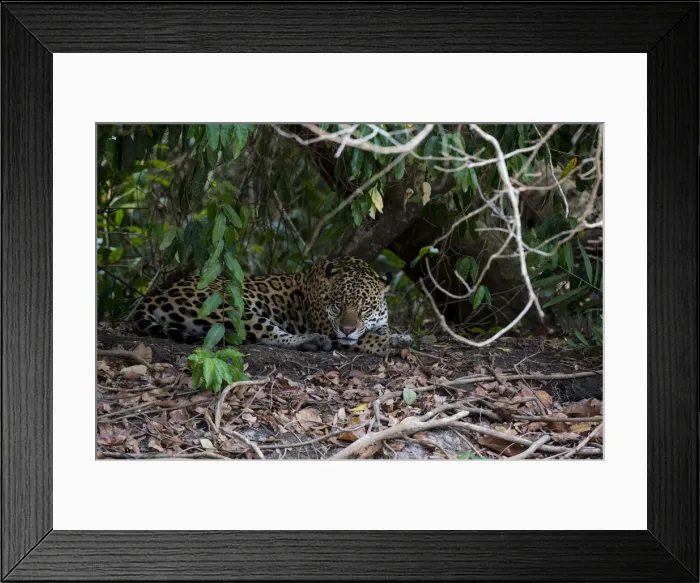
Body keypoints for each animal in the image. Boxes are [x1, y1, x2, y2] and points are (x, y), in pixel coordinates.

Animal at [132, 257, 412, 356]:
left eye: (364, 307)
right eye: (337, 305)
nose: (346, 328)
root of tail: (153, 296)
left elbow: (380, 330)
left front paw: (396, 337)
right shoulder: (331, 328)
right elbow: (366, 339)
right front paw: (393, 342)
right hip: (229, 307)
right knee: (266, 335)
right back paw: (311, 341)